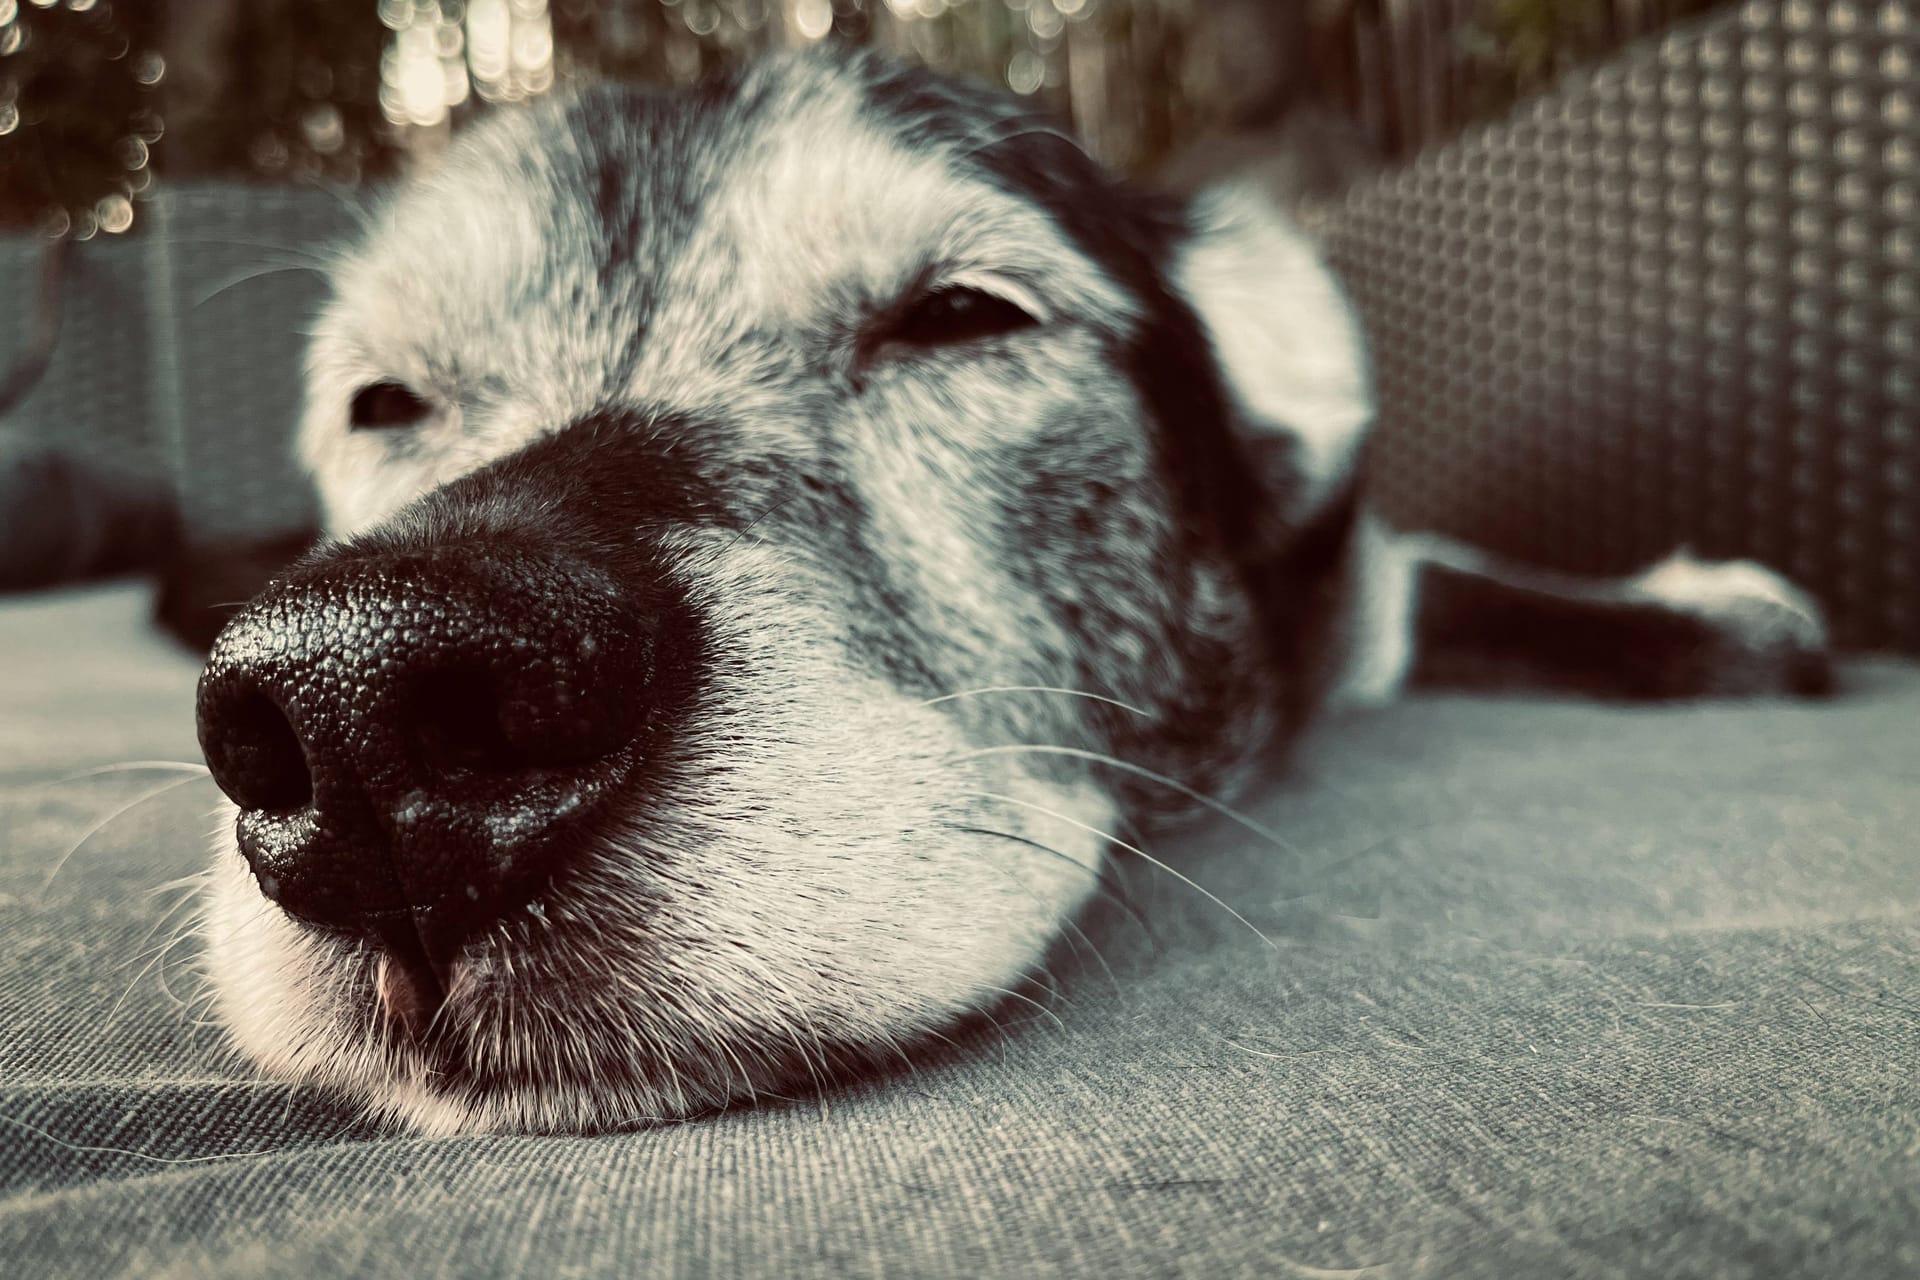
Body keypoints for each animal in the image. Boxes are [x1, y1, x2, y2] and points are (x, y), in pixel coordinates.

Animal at [194, 47, 1827, 1143]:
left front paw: (1712, 616)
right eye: (384, 402)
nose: (365, 719)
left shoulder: (1357, 584)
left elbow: (1448, 576)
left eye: (962, 316)